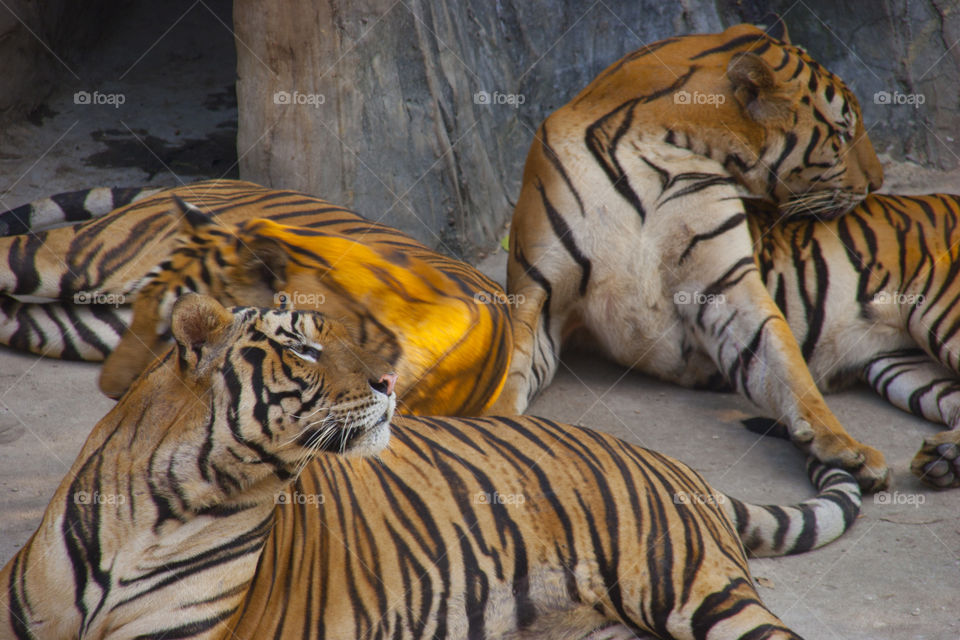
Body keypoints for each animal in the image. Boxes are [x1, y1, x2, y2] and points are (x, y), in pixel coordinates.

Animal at [492, 20, 888, 490]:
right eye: (843, 133)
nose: (878, 182)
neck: (667, 147)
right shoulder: (539, 291)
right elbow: (514, 367)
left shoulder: (722, 282)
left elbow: (783, 359)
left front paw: (844, 445)